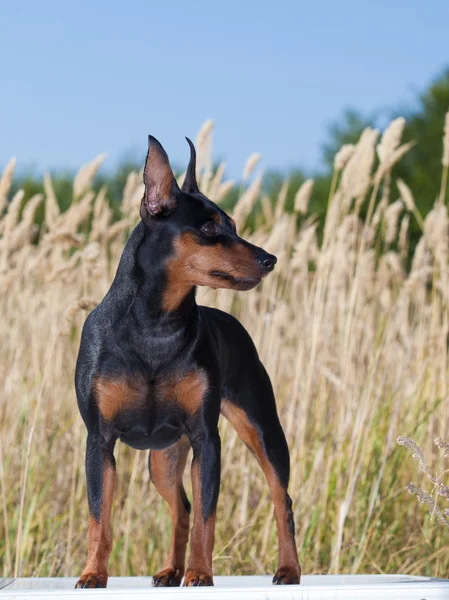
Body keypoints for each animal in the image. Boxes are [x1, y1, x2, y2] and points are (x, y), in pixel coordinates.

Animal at [73, 135, 300, 584]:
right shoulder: (99, 441)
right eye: (210, 228)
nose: (270, 259)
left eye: (233, 224)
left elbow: (207, 519)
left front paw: (200, 574)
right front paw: (93, 574)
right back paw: (169, 571)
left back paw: (288, 569)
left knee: (280, 499)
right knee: (180, 508)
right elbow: (99, 516)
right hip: (162, 460)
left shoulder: (205, 438)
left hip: (262, 431)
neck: (156, 326)